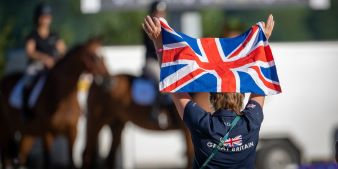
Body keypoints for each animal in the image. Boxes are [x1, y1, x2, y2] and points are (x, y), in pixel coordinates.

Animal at [0, 38, 107, 169]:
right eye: (94, 57)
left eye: (103, 56)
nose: (108, 80)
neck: (62, 100)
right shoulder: (47, 134)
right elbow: (48, 161)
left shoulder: (72, 132)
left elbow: (71, 161)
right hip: (5, 130)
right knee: (6, 159)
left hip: (27, 134)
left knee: (21, 156)